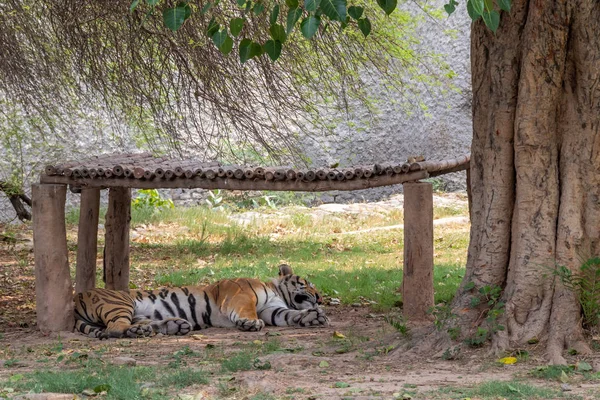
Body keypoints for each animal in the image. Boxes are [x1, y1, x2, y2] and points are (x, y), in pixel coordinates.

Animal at [75, 264, 330, 340]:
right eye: (307, 283)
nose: (319, 297)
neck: (277, 291)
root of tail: (77, 296)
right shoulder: (242, 295)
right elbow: (249, 311)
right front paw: (250, 323)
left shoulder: (272, 309)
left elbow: (289, 315)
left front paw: (315, 317)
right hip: (121, 303)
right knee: (113, 327)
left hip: (136, 313)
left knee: (136, 324)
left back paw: (172, 326)